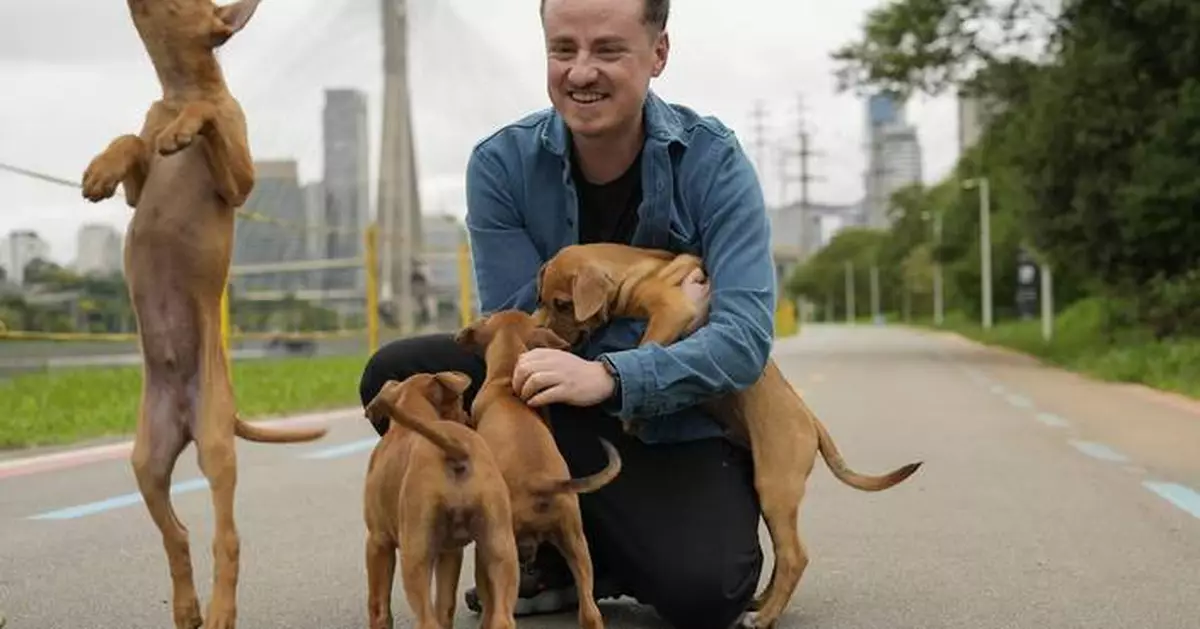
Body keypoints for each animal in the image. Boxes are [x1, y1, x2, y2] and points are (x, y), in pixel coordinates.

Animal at [79, 2, 328, 624]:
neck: (178, 89)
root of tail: (189, 418)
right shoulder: (139, 190)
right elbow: (131, 143)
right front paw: (101, 169)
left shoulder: (240, 180)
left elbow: (208, 123)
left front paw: (186, 130)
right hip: (147, 459)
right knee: (178, 533)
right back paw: (188, 605)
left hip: (216, 445)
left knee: (225, 536)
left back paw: (219, 609)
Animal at [362, 372, 518, 629]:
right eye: (459, 401)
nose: (469, 418)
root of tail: (455, 447)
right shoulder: (450, 552)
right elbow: (444, 606)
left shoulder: (378, 542)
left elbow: (379, 606)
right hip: (500, 546)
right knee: (502, 618)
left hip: (414, 558)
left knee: (427, 620)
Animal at [453, 309, 624, 629]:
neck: (507, 380)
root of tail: (541, 483)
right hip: (576, 544)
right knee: (590, 612)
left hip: (495, 548)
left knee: (499, 614)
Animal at [530, 242, 921, 629]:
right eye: (542, 299)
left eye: (562, 304)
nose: (541, 331)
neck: (631, 270)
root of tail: (810, 419)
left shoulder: (672, 309)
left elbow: (645, 345)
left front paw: (632, 409)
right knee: (784, 552)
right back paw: (762, 602)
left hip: (775, 485)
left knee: (794, 556)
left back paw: (763, 617)